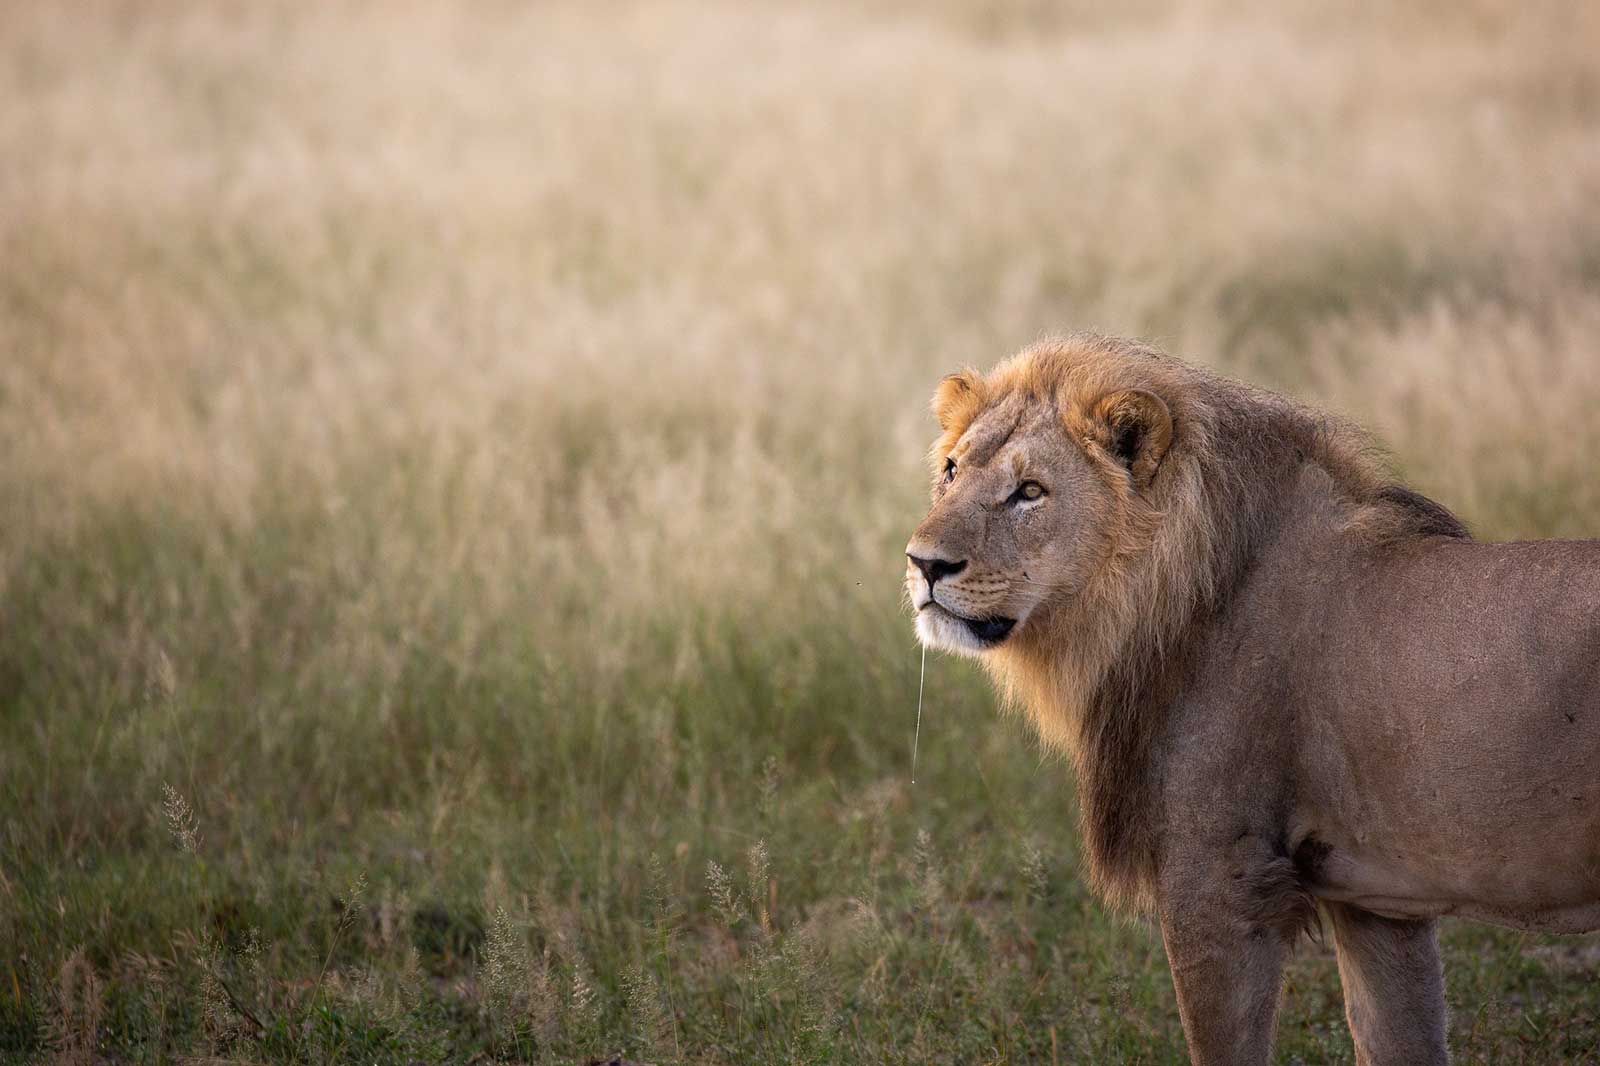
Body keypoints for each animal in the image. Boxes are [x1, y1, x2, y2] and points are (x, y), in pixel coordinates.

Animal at [905, 333, 1600, 1065]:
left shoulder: (1218, 881)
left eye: (1030, 491)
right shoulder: (1379, 901)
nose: (924, 563)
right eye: (951, 470)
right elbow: (1398, 1036)